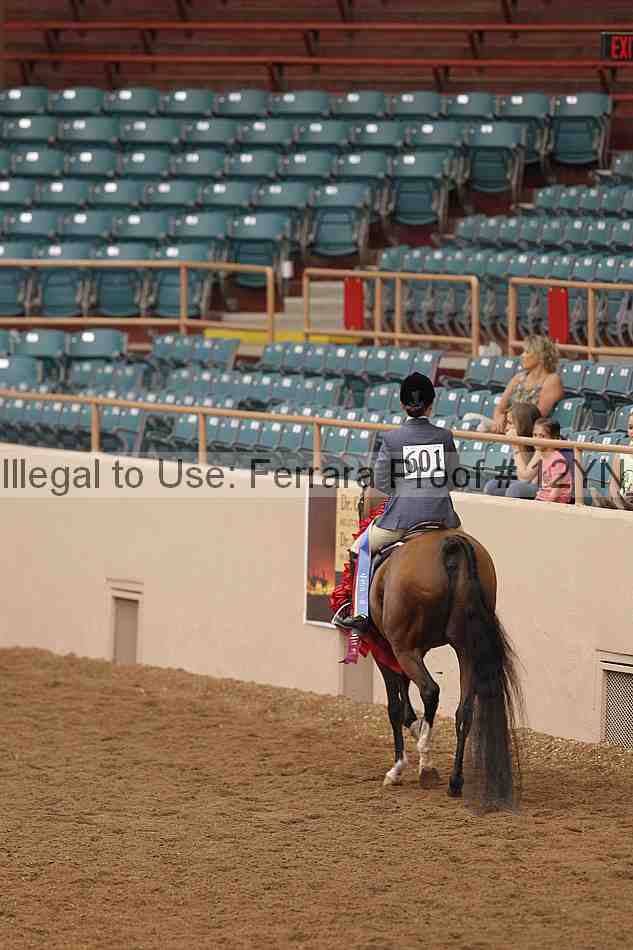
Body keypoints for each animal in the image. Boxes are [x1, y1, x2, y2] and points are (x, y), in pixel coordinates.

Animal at [358, 490, 523, 812]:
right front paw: (415, 727)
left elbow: (395, 707)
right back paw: (455, 781)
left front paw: (398, 768)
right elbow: (405, 700)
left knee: (430, 690)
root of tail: (451, 545)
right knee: (465, 710)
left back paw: (426, 766)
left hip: (406, 648)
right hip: (466, 649)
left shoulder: (387, 648)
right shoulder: (409, 652)